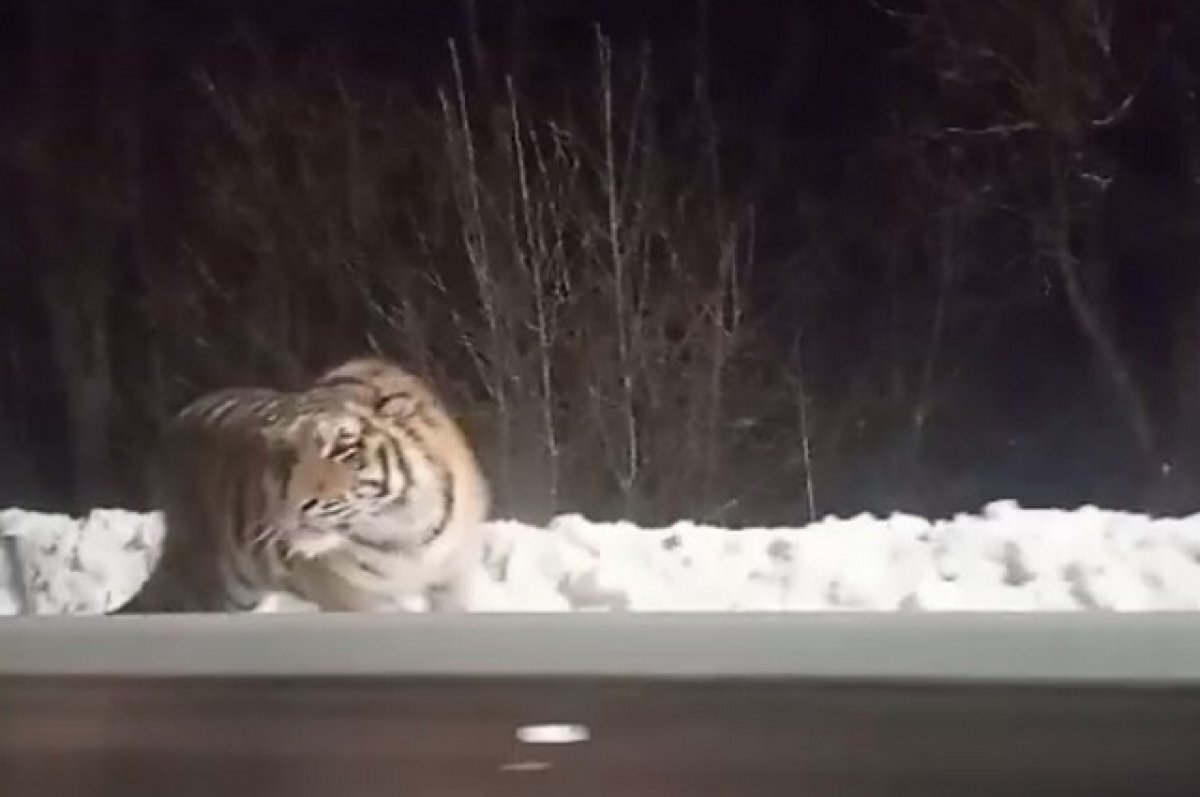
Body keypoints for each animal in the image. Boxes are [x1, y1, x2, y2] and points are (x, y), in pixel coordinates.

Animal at [110, 356, 490, 614]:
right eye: (286, 456)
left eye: (343, 449)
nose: (292, 506)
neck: (400, 536)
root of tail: (174, 424)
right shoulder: (357, 600)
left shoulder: (454, 578)